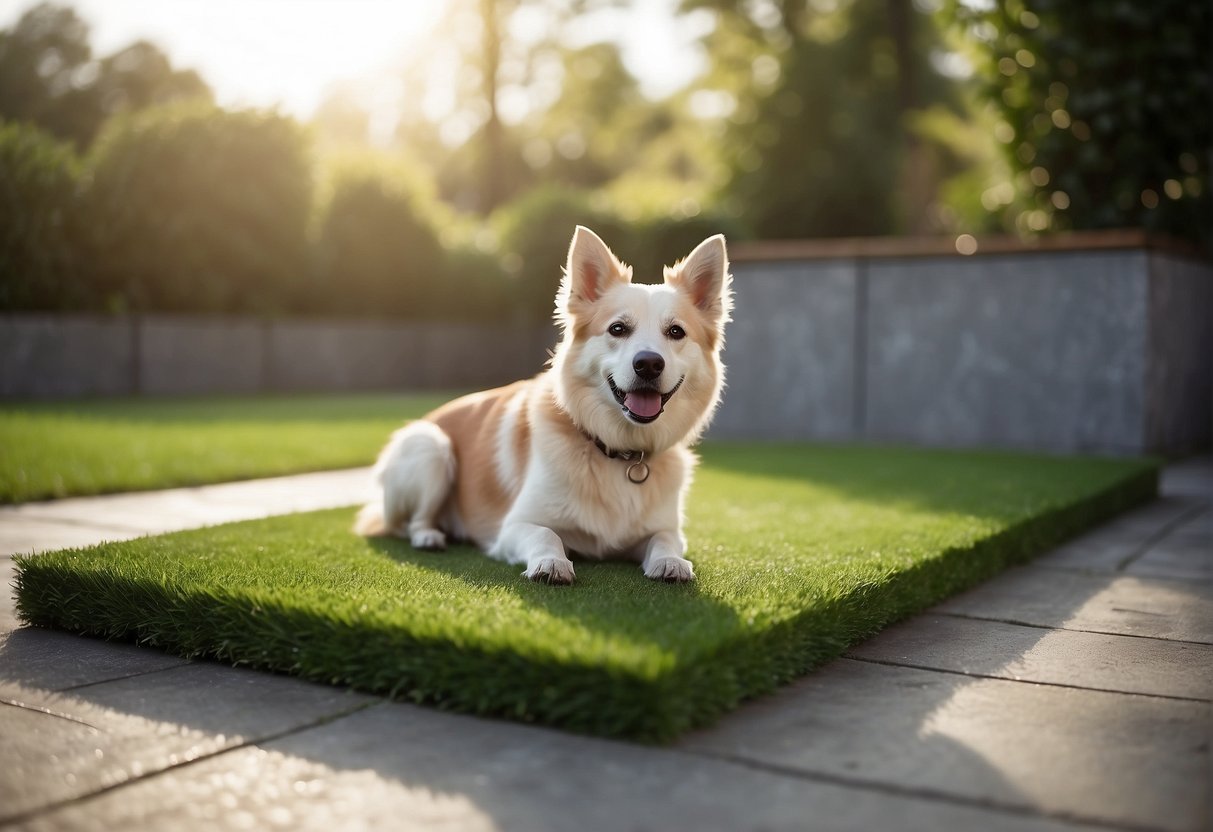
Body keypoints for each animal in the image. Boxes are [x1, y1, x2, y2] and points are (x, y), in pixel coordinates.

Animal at [351, 224, 727, 584]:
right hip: (432, 447)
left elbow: (664, 540)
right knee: (411, 523)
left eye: (676, 332)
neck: (619, 453)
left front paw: (671, 562)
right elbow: (547, 536)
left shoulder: (665, 529)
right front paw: (551, 563)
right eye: (618, 329)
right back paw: (429, 536)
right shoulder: (515, 526)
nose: (648, 363)